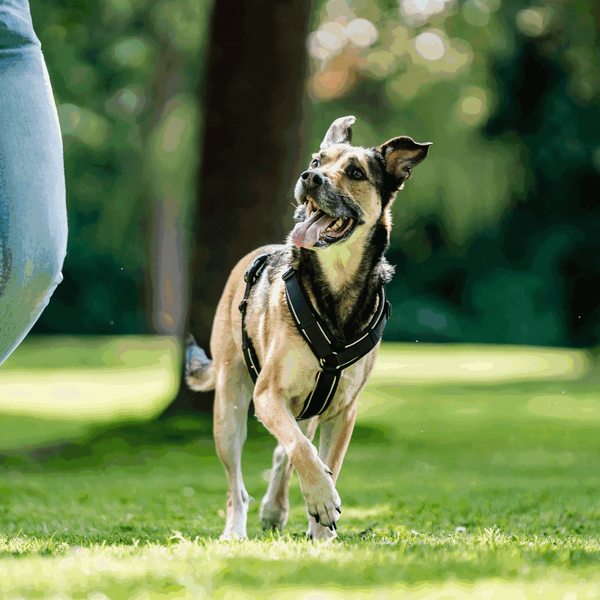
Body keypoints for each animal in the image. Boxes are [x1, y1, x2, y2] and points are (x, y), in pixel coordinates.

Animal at [185, 117, 428, 544]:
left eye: (355, 173)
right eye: (318, 161)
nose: (310, 177)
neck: (334, 286)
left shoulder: (342, 411)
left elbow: (321, 457)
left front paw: (322, 532)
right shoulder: (268, 395)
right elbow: (302, 451)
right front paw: (322, 500)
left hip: (307, 410)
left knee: (284, 451)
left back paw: (274, 508)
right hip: (229, 409)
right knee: (239, 483)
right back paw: (235, 529)